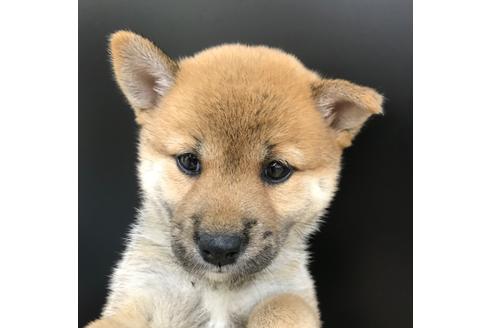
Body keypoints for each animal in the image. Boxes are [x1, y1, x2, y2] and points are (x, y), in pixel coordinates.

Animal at [86, 30, 382, 328]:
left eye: (276, 170)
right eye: (189, 161)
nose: (219, 249)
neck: (217, 289)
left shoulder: (292, 295)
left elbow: (282, 306)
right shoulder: (141, 293)